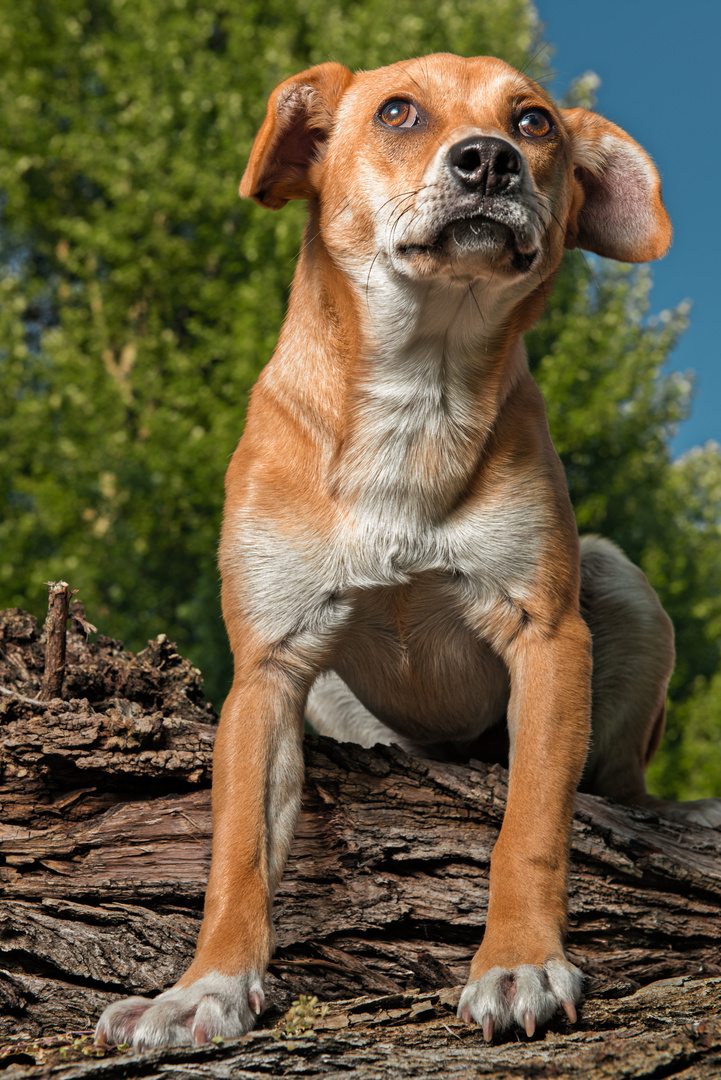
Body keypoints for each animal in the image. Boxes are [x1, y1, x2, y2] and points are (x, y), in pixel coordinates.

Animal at [95, 52, 721, 1054]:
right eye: (397, 112)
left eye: (535, 122)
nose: (490, 160)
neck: (415, 393)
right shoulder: (268, 671)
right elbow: (237, 857)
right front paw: (203, 988)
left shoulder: (548, 639)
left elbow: (529, 828)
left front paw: (518, 962)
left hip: (618, 586)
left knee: (619, 787)